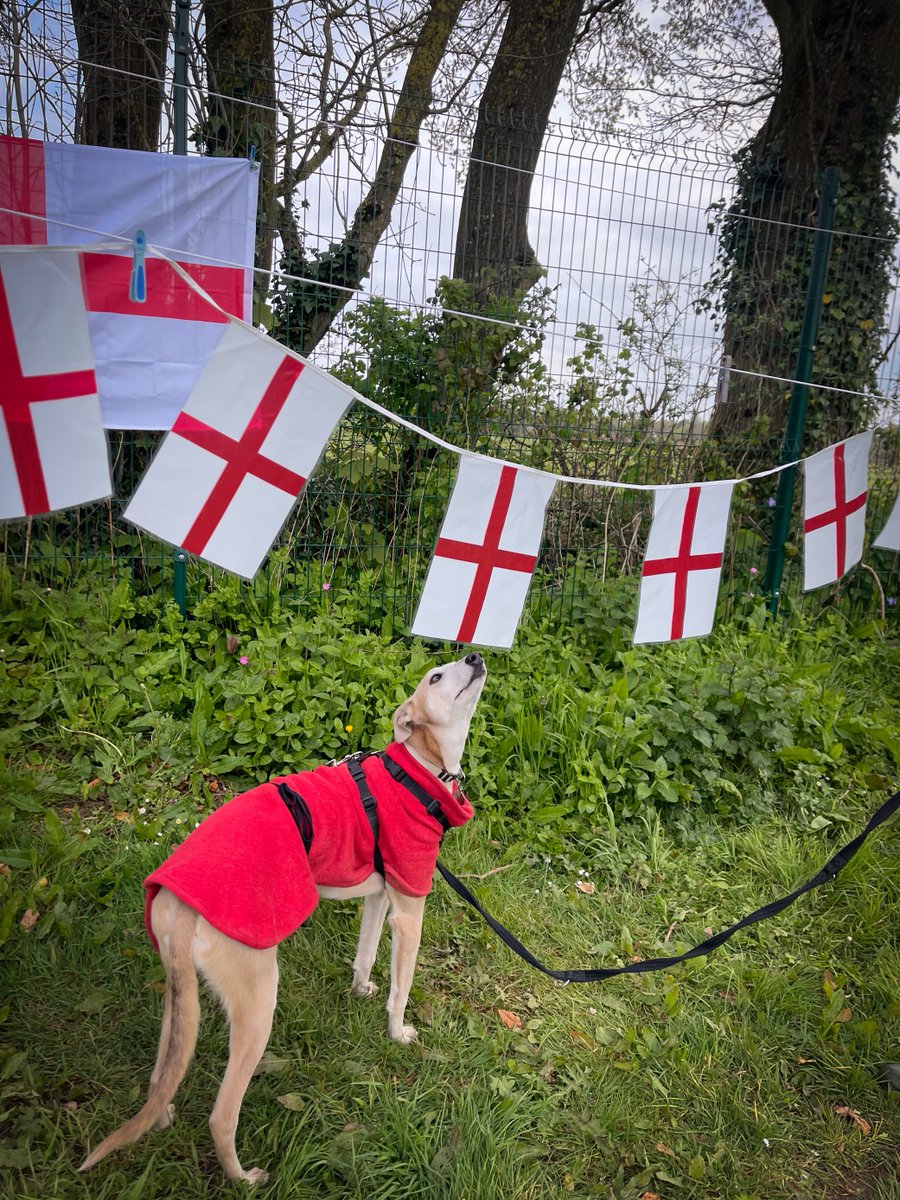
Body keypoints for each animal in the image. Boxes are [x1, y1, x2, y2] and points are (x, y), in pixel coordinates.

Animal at [77, 648, 487, 1180]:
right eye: (436, 677)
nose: (475, 655)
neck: (417, 765)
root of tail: (178, 903)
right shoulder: (409, 910)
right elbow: (400, 990)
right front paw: (398, 1034)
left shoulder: (382, 896)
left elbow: (365, 953)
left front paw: (360, 989)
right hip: (257, 1003)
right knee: (221, 1115)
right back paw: (242, 1177)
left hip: (179, 998)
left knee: (161, 1075)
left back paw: (161, 1115)